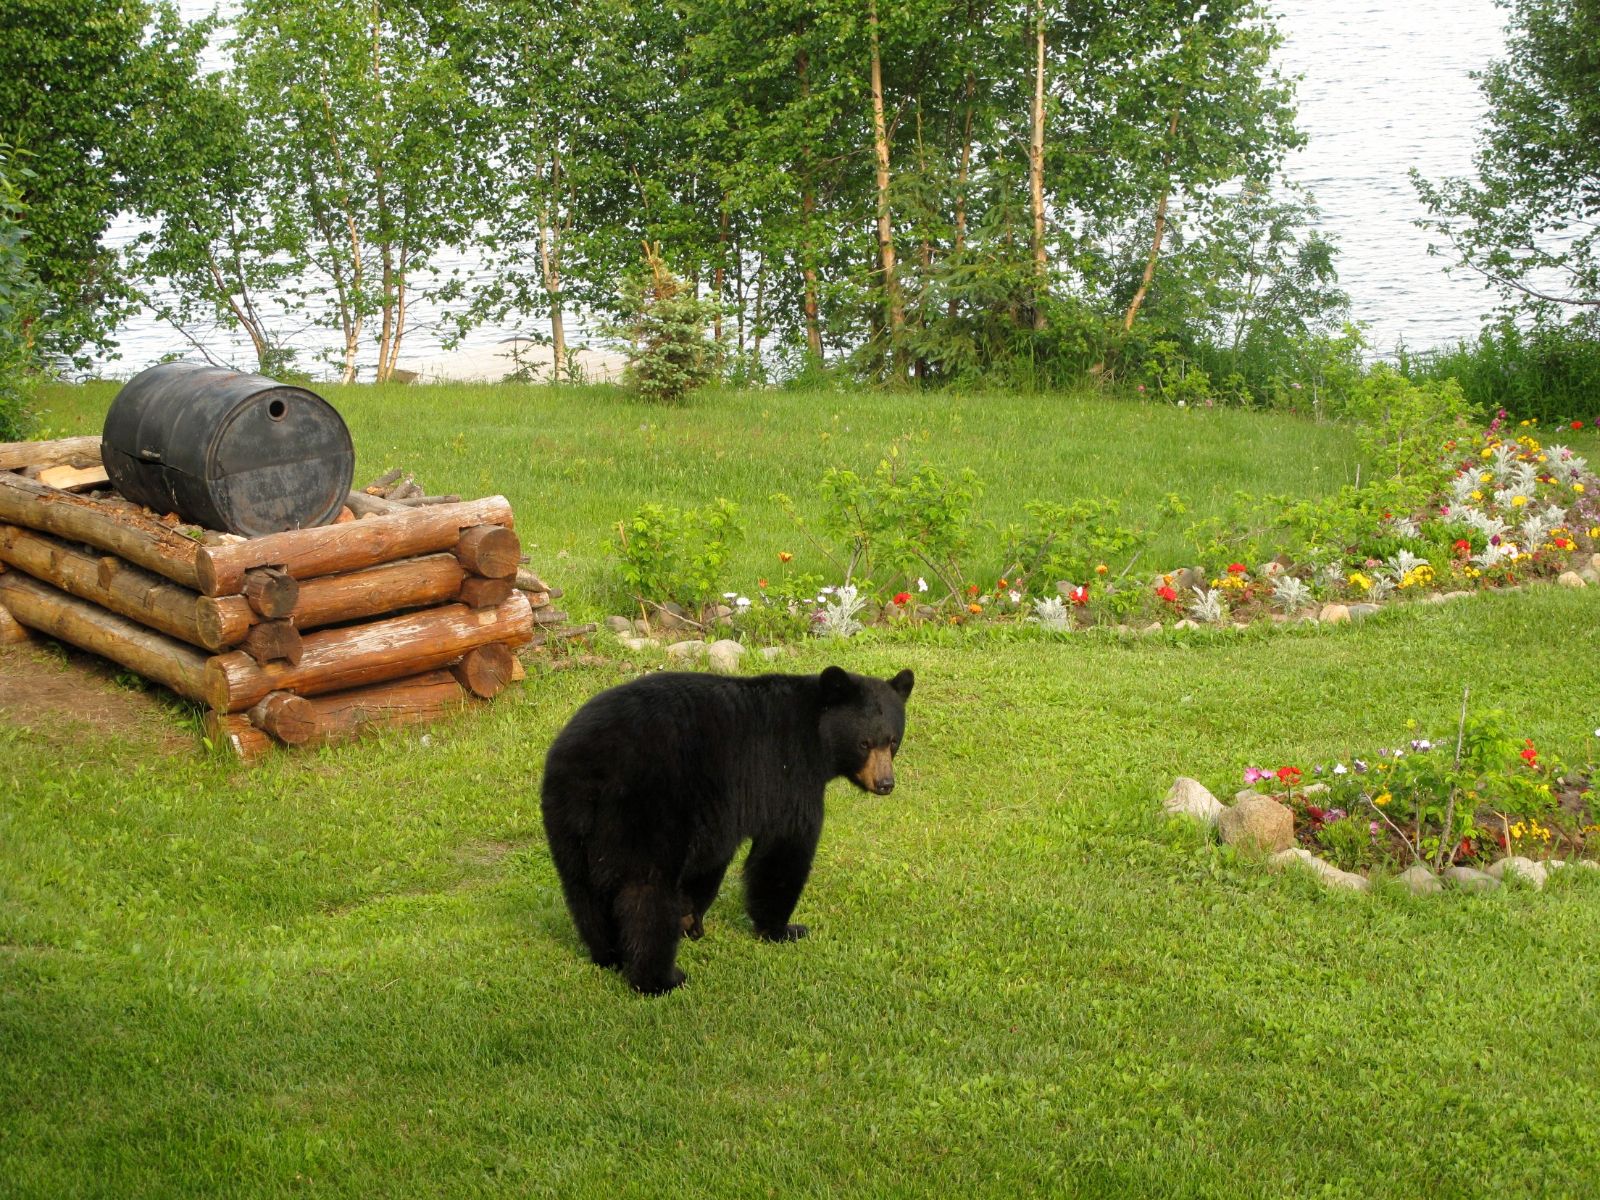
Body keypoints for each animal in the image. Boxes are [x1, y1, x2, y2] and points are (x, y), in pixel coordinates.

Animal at [539, 665, 914, 994]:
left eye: (893, 741)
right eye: (865, 743)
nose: (885, 784)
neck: (817, 734)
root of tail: (593, 770)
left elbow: (710, 864)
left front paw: (692, 921)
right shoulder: (786, 774)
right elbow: (783, 848)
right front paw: (781, 929)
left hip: (567, 818)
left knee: (583, 889)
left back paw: (608, 955)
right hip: (646, 808)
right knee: (646, 892)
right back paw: (659, 979)